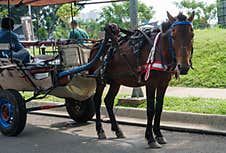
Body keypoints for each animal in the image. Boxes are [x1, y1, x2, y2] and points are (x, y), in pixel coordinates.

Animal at [88, 11, 194, 148]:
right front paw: (151, 138)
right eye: (173, 35)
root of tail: (96, 45)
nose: (184, 66)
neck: (159, 51)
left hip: (116, 82)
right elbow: (150, 109)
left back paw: (117, 130)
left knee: (108, 101)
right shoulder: (150, 83)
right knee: (97, 100)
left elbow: (159, 108)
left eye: (192, 35)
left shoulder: (163, 84)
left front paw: (159, 135)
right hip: (100, 80)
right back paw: (100, 130)